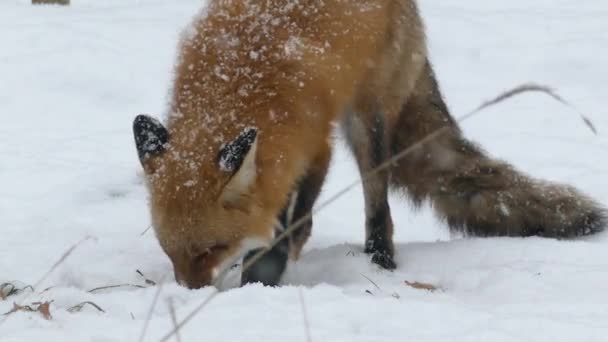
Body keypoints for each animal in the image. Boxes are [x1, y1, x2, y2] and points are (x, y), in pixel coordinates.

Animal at [132, 0, 604, 288]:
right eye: (171, 253)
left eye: (212, 249)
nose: (190, 293)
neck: (240, 79)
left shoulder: (315, 144)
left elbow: (296, 219)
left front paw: (266, 271)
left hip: (368, 123)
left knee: (378, 199)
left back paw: (380, 258)